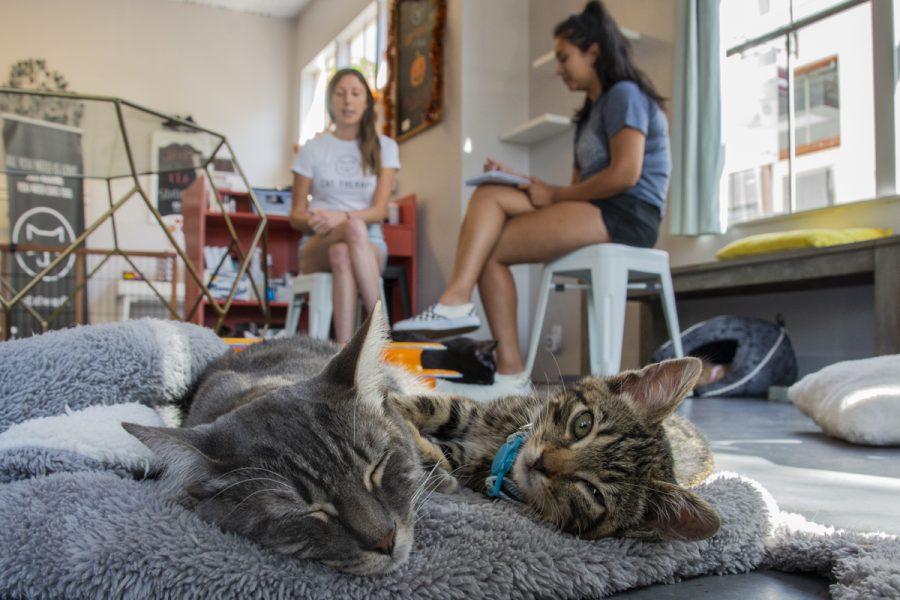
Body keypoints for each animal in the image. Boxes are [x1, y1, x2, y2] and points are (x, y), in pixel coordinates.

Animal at [390, 358, 720, 540]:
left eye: (594, 493)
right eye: (583, 424)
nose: (540, 462)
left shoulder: (465, 461)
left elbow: (441, 454)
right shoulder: (477, 411)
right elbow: (434, 407)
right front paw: (392, 401)